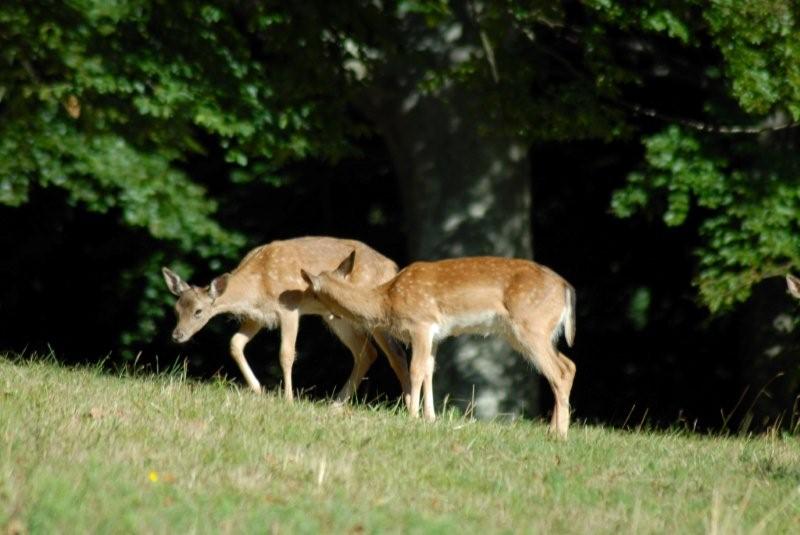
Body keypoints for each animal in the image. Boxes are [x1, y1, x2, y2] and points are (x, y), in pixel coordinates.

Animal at [162, 237, 412, 408]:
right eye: (176, 309)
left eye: (198, 311)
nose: (177, 335)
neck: (257, 285)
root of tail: (392, 268)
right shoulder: (258, 316)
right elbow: (235, 343)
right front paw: (258, 389)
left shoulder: (289, 308)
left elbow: (286, 353)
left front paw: (289, 399)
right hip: (336, 317)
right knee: (366, 352)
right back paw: (337, 404)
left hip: (371, 313)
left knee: (396, 354)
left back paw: (408, 408)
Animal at [304, 251, 580, 440]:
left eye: (311, 292)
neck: (386, 301)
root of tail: (567, 288)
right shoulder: (435, 335)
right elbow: (429, 371)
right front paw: (430, 418)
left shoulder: (420, 323)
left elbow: (416, 371)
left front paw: (413, 417)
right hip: (533, 332)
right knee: (569, 365)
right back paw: (553, 430)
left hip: (531, 326)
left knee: (559, 372)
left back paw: (561, 435)